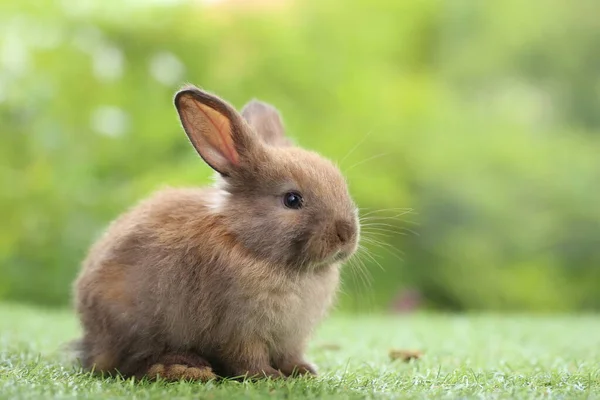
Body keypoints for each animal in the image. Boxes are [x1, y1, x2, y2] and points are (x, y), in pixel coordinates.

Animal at [72, 85, 358, 382]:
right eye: (292, 200)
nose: (346, 233)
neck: (250, 245)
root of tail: (93, 343)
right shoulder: (240, 330)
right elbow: (248, 358)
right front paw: (269, 376)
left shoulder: (291, 338)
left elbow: (290, 356)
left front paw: (304, 371)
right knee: (132, 363)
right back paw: (184, 368)